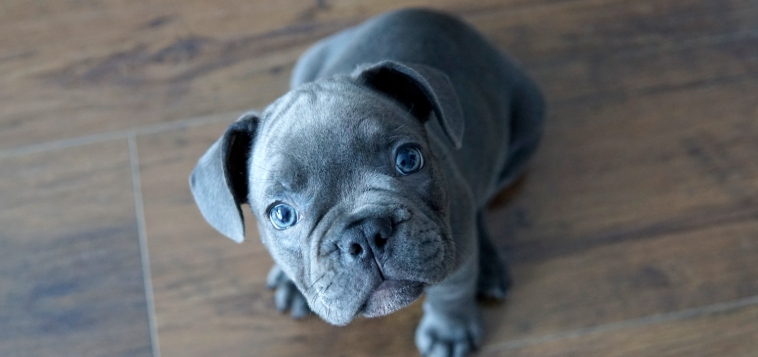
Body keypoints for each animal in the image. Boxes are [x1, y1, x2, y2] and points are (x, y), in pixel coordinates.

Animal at [190, 8, 548, 356]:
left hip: (525, 132)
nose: (364, 233)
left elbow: (451, 292)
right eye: (282, 215)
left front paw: (448, 333)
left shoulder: (455, 256)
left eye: (408, 160)